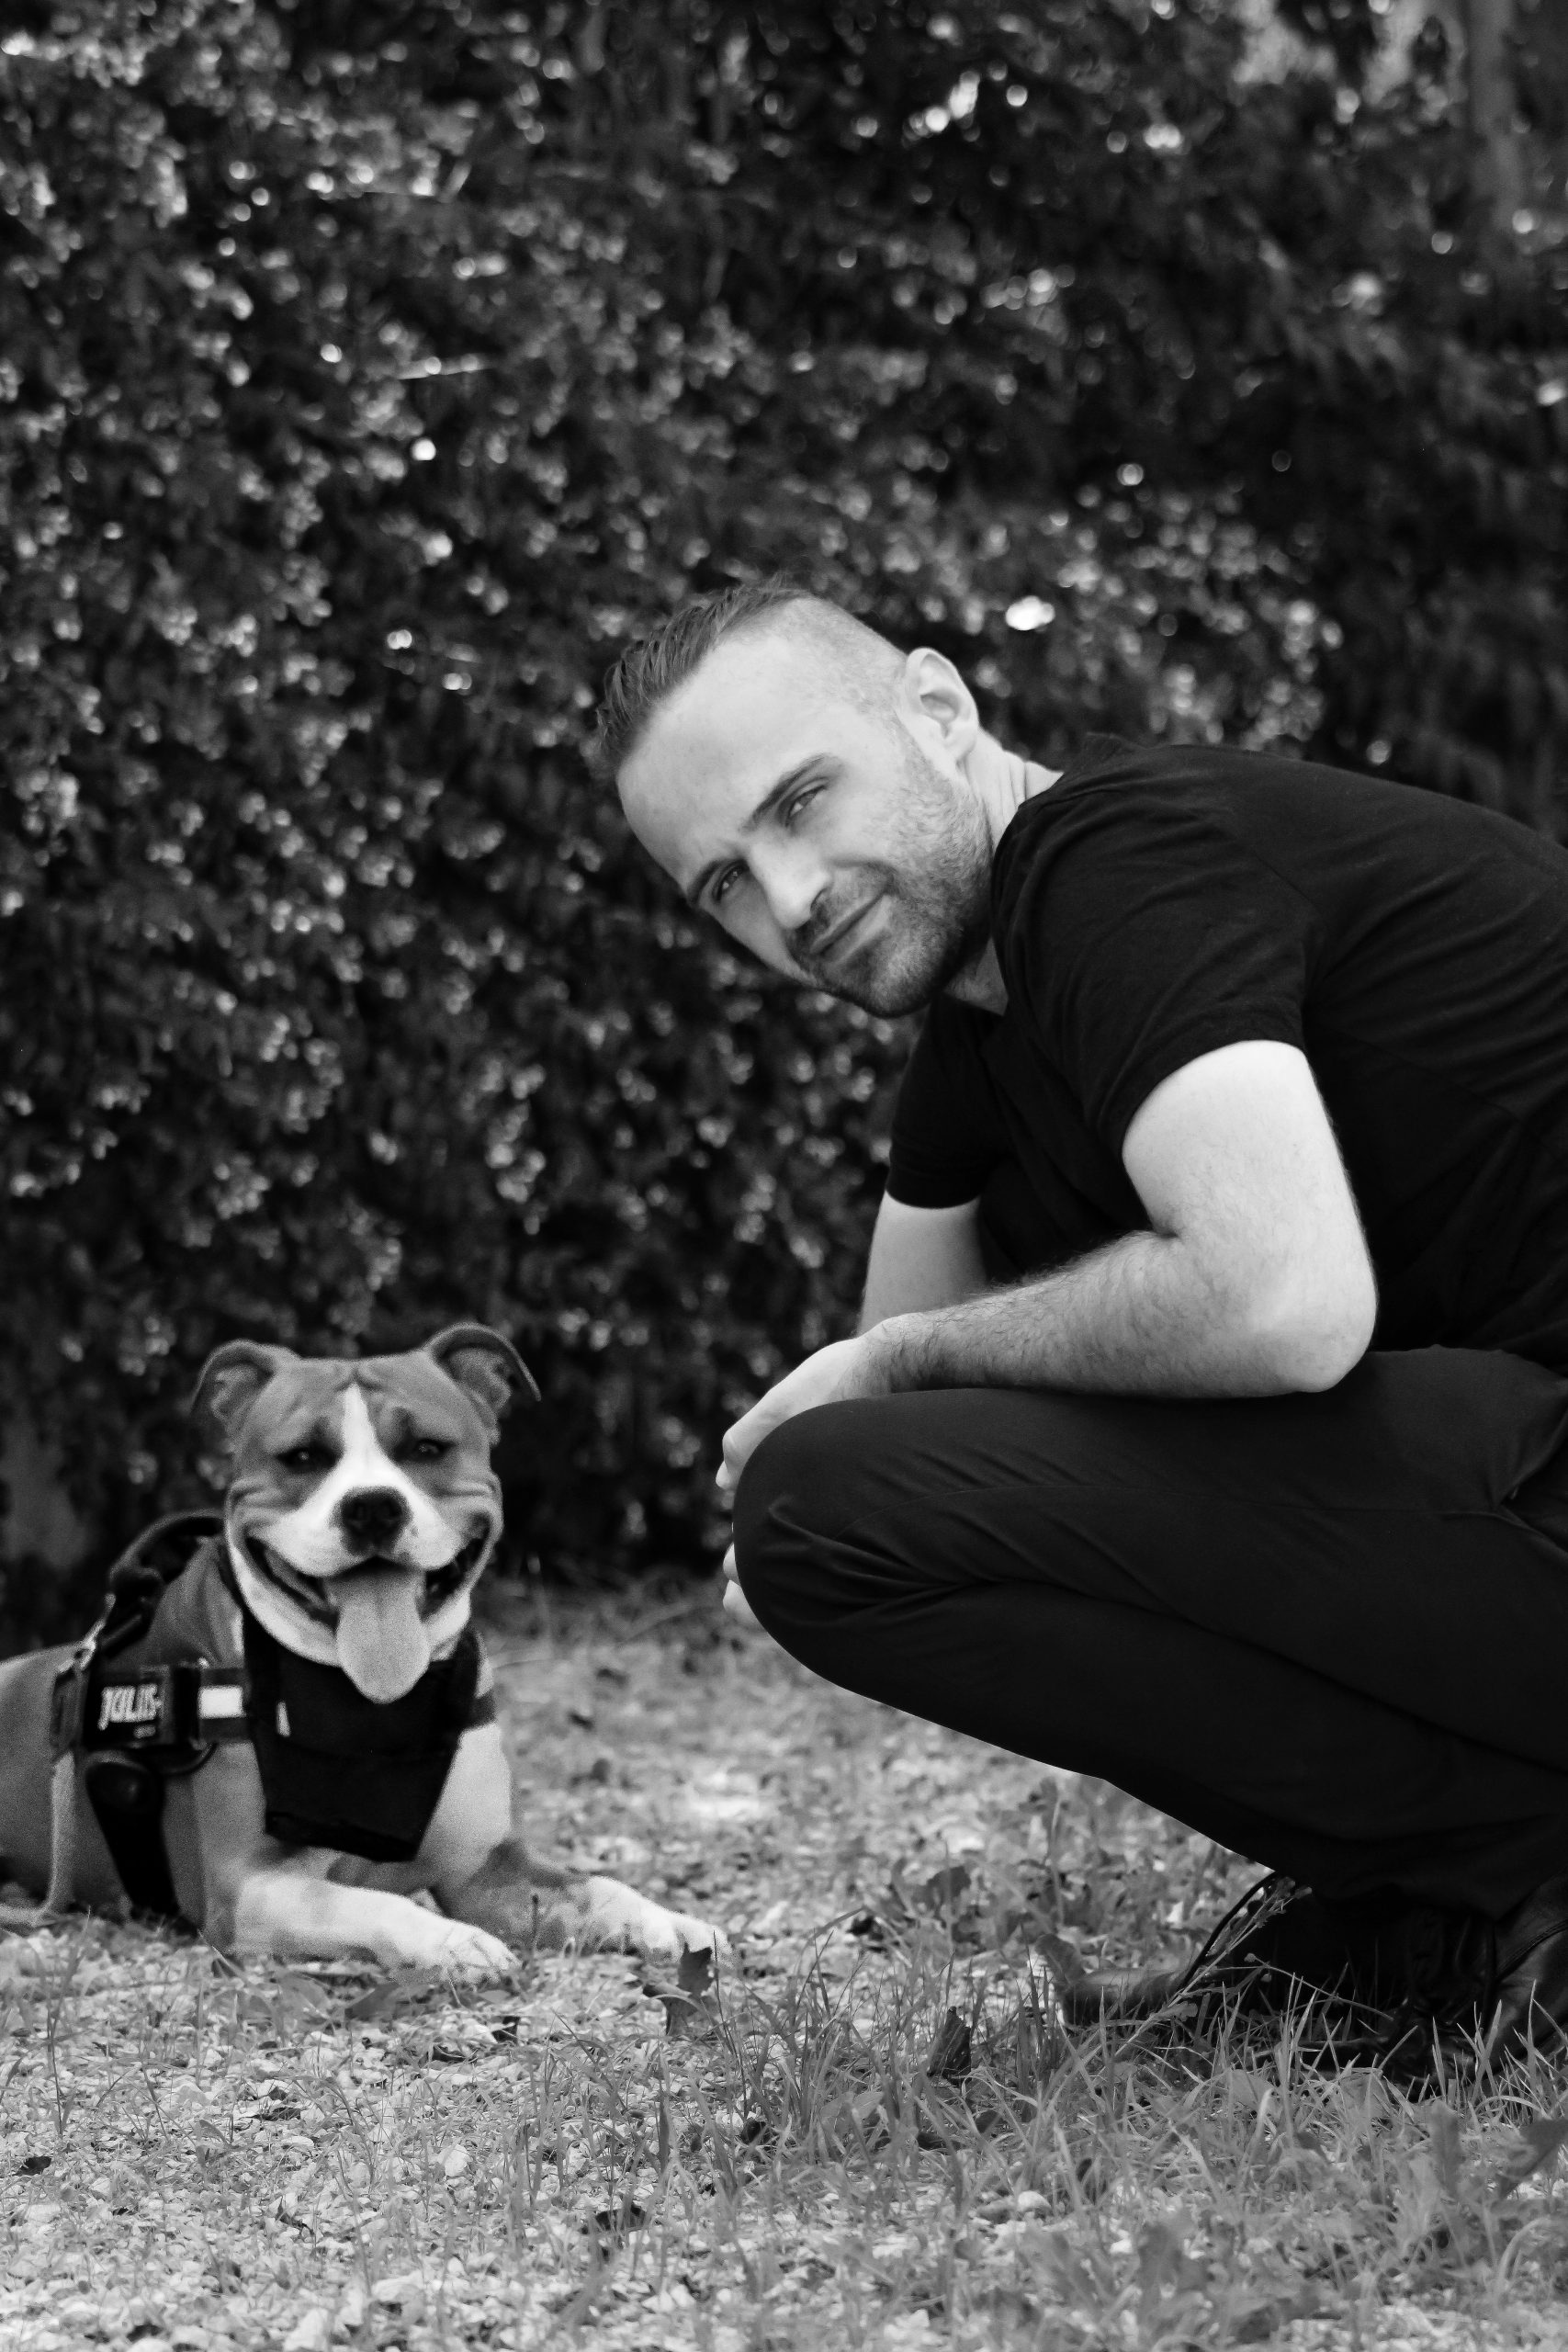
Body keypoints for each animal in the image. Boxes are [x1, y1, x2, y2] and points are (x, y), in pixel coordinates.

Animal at [0, 1326, 722, 1976]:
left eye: (427, 1448)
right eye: (301, 1458)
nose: (372, 1506)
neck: (367, 1700)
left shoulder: (488, 1869)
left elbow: (599, 1886)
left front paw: (668, 1922)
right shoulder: (250, 1889)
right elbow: (374, 1904)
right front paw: (451, 1942)